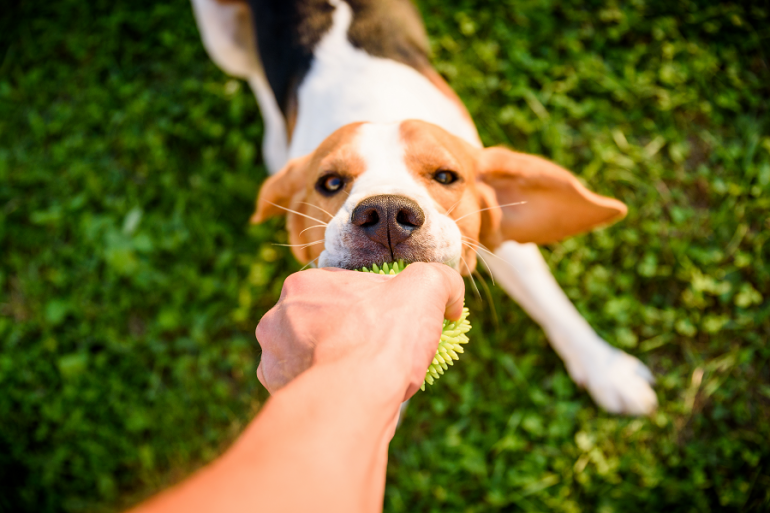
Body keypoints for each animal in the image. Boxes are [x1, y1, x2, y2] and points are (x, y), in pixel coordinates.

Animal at [189, 0, 652, 414]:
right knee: (253, 75)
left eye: (447, 176)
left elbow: (551, 302)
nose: (386, 214)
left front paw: (608, 370)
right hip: (220, 33)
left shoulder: (500, 240)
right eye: (330, 183)